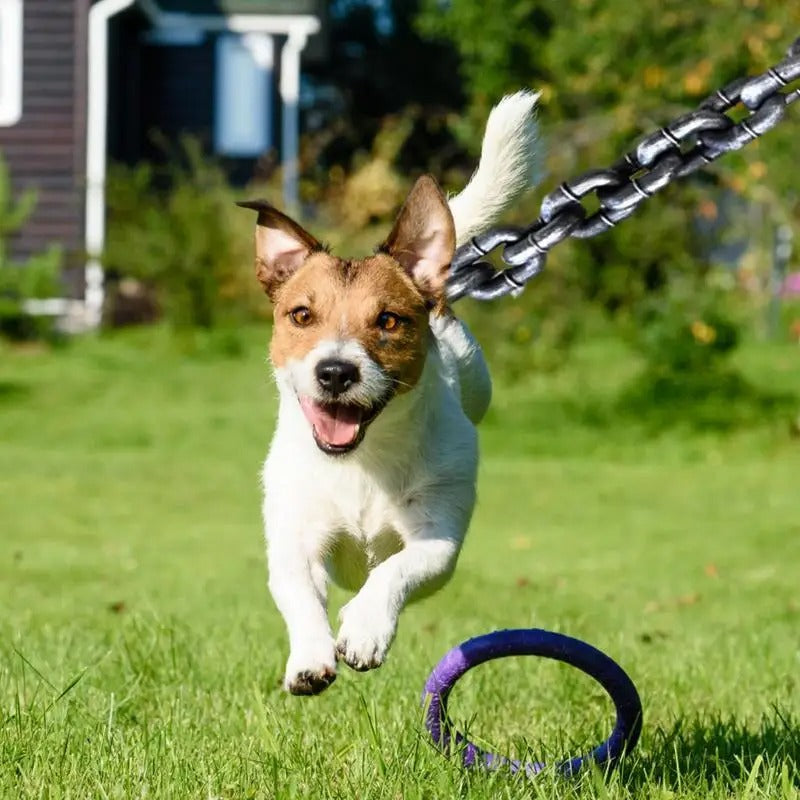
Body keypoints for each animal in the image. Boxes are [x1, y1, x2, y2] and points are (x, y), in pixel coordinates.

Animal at [241, 92, 540, 692]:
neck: (364, 461)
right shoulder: (295, 535)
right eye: (301, 315)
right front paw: (310, 656)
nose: (335, 372)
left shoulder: (438, 537)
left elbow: (398, 568)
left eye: (388, 320)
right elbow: (297, 591)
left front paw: (364, 627)